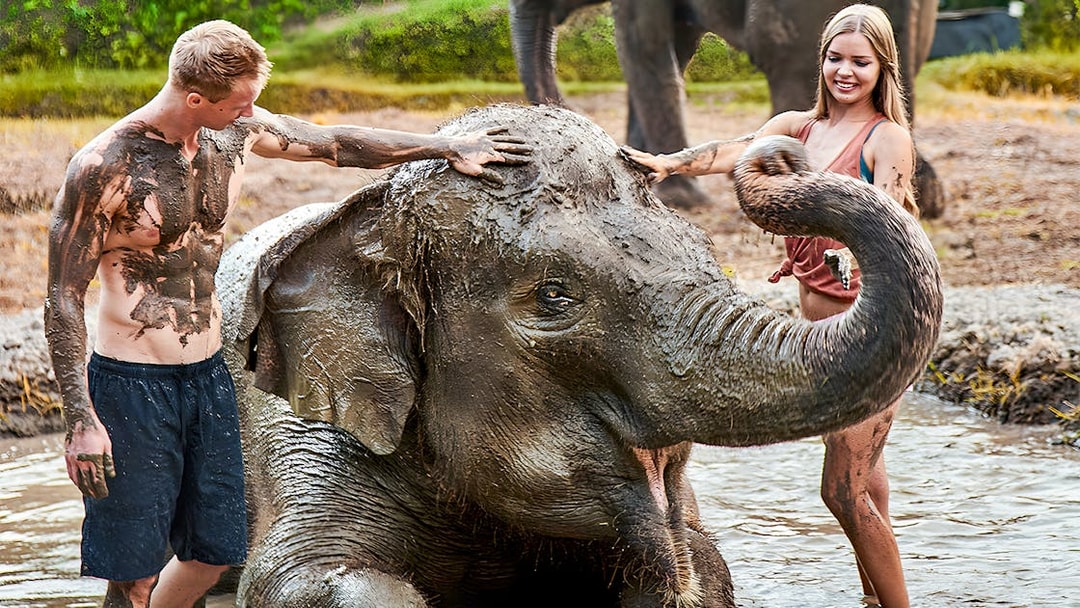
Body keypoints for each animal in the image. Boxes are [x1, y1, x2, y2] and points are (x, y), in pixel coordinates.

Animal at [215, 103, 943, 606]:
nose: (781, 155)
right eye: (554, 296)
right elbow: (303, 578)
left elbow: (703, 566)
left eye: (703, 251)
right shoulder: (304, 433)